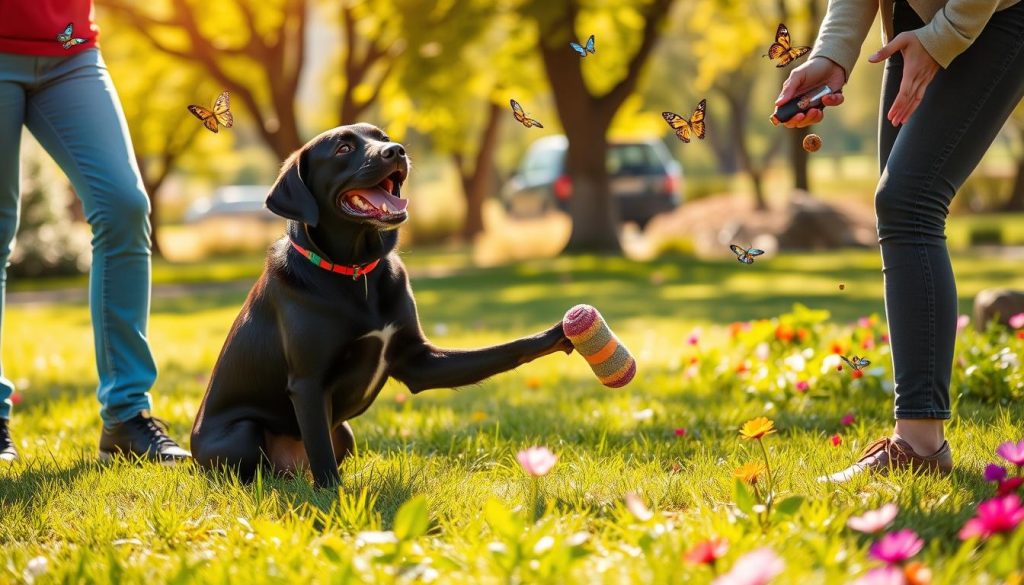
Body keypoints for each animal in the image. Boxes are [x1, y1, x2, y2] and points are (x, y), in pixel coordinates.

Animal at [192, 124, 577, 489]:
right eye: (343, 148)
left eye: (383, 136)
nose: (397, 151)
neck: (355, 271)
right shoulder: (308, 383)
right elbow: (323, 459)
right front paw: (334, 499)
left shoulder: (417, 360)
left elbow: (507, 349)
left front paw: (560, 333)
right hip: (244, 434)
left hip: (344, 433)